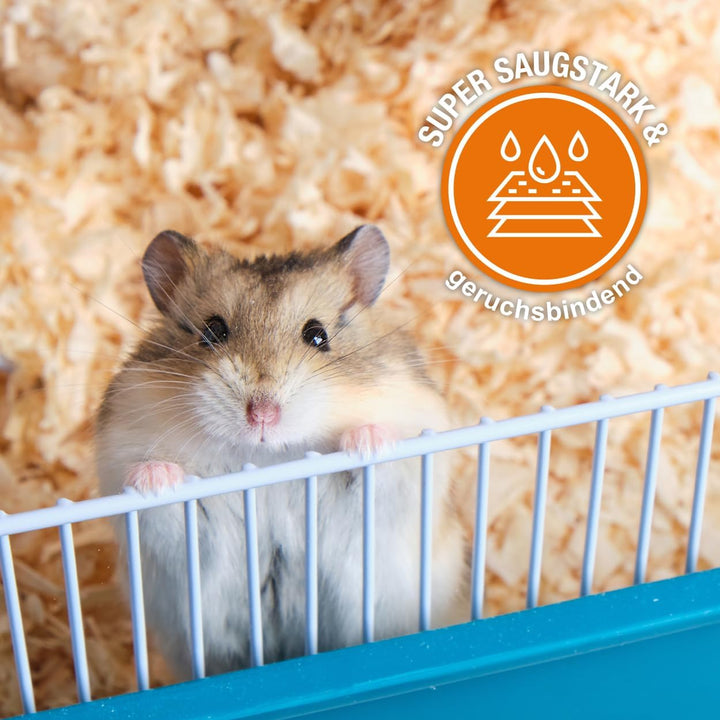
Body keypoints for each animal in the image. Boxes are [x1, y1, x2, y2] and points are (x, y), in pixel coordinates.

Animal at [96, 225, 467, 679]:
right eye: (212, 331)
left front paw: (366, 442)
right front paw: (154, 479)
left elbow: (378, 466)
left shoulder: (407, 475)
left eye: (317, 335)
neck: (270, 458)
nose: (262, 414)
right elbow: (163, 500)